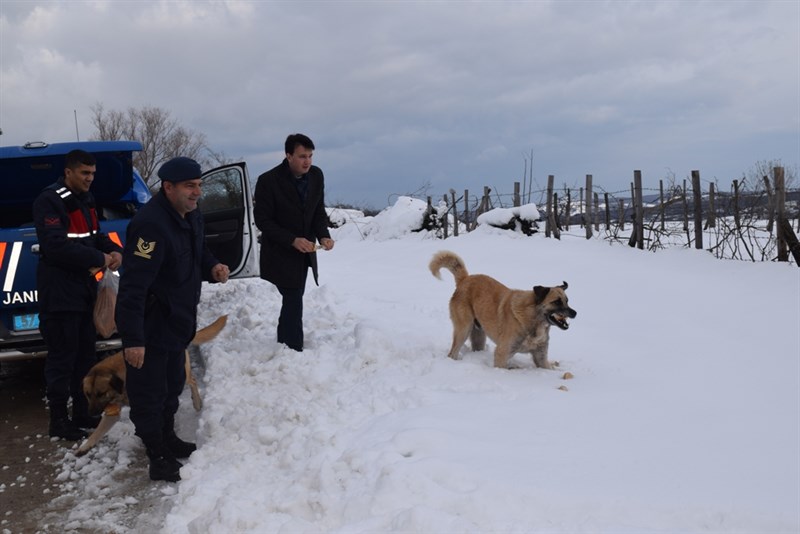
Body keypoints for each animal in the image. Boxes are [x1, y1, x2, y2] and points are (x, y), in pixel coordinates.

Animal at [76, 316, 228, 458]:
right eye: (88, 394)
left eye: (101, 393)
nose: (91, 413)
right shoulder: (112, 414)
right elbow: (97, 432)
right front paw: (85, 447)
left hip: (181, 374)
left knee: (193, 380)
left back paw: (197, 402)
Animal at [428, 250, 580, 368]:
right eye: (556, 302)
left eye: (567, 301)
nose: (575, 313)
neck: (532, 318)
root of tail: (465, 279)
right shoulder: (502, 353)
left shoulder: (540, 357)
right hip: (463, 329)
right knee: (452, 352)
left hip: (478, 335)